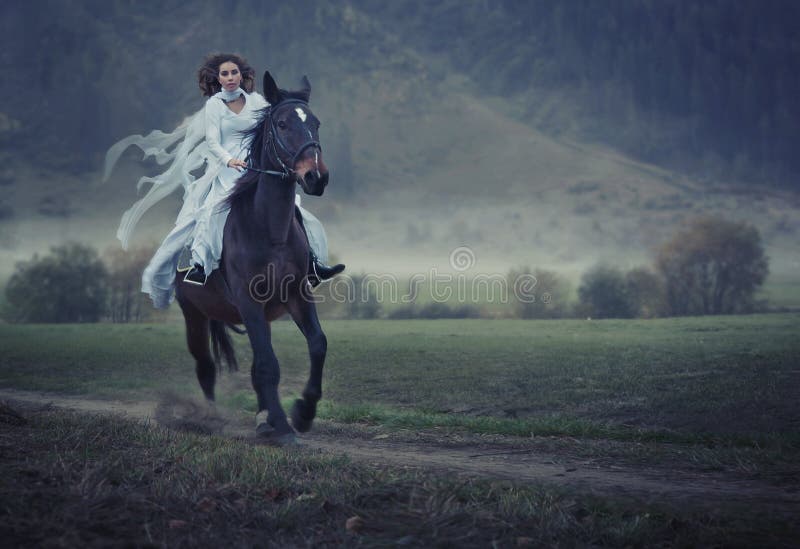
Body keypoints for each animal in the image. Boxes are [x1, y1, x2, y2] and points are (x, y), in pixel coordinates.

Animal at [177, 70, 332, 444]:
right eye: (282, 123)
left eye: (316, 123)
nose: (316, 177)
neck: (269, 229)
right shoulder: (247, 301)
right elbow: (267, 364)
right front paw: (284, 426)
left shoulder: (296, 295)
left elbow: (317, 345)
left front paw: (302, 412)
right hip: (193, 313)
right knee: (206, 366)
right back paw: (212, 417)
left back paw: (263, 419)